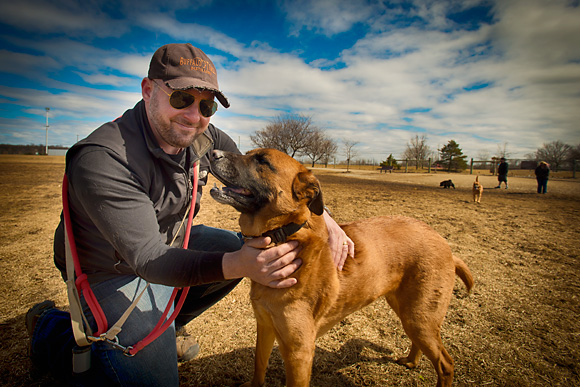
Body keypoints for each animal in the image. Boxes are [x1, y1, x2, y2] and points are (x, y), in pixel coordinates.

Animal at [211, 149, 474, 387]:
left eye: (262, 160)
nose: (213, 153)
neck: (284, 234)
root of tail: (446, 246)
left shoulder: (299, 352)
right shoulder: (265, 326)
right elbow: (259, 364)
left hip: (419, 317)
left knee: (445, 364)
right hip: (408, 312)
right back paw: (411, 361)